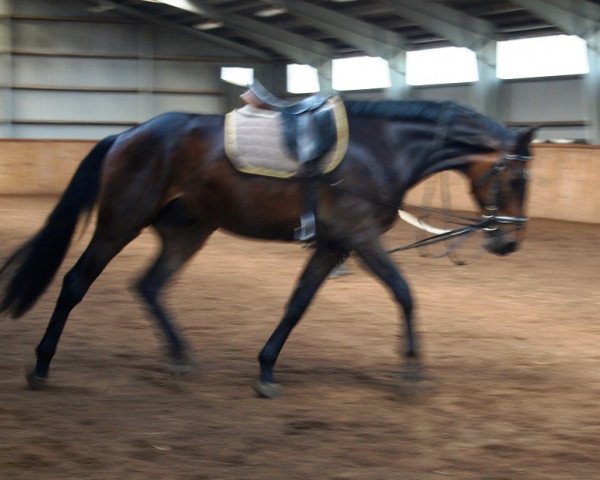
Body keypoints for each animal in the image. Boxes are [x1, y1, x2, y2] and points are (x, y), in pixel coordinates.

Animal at [0, 96, 536, 398]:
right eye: (515, 178)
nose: (509, 241)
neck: (381, 149)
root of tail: (127, 135)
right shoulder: (361, 239)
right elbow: (404, 293)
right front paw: (411, 370)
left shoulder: (334, 246)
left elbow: (297, 305)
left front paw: (266, 369)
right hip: (120, 222)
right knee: (76, 283)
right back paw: (42, 365)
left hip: (189, 229)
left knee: (149, 285)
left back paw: (179, 357)